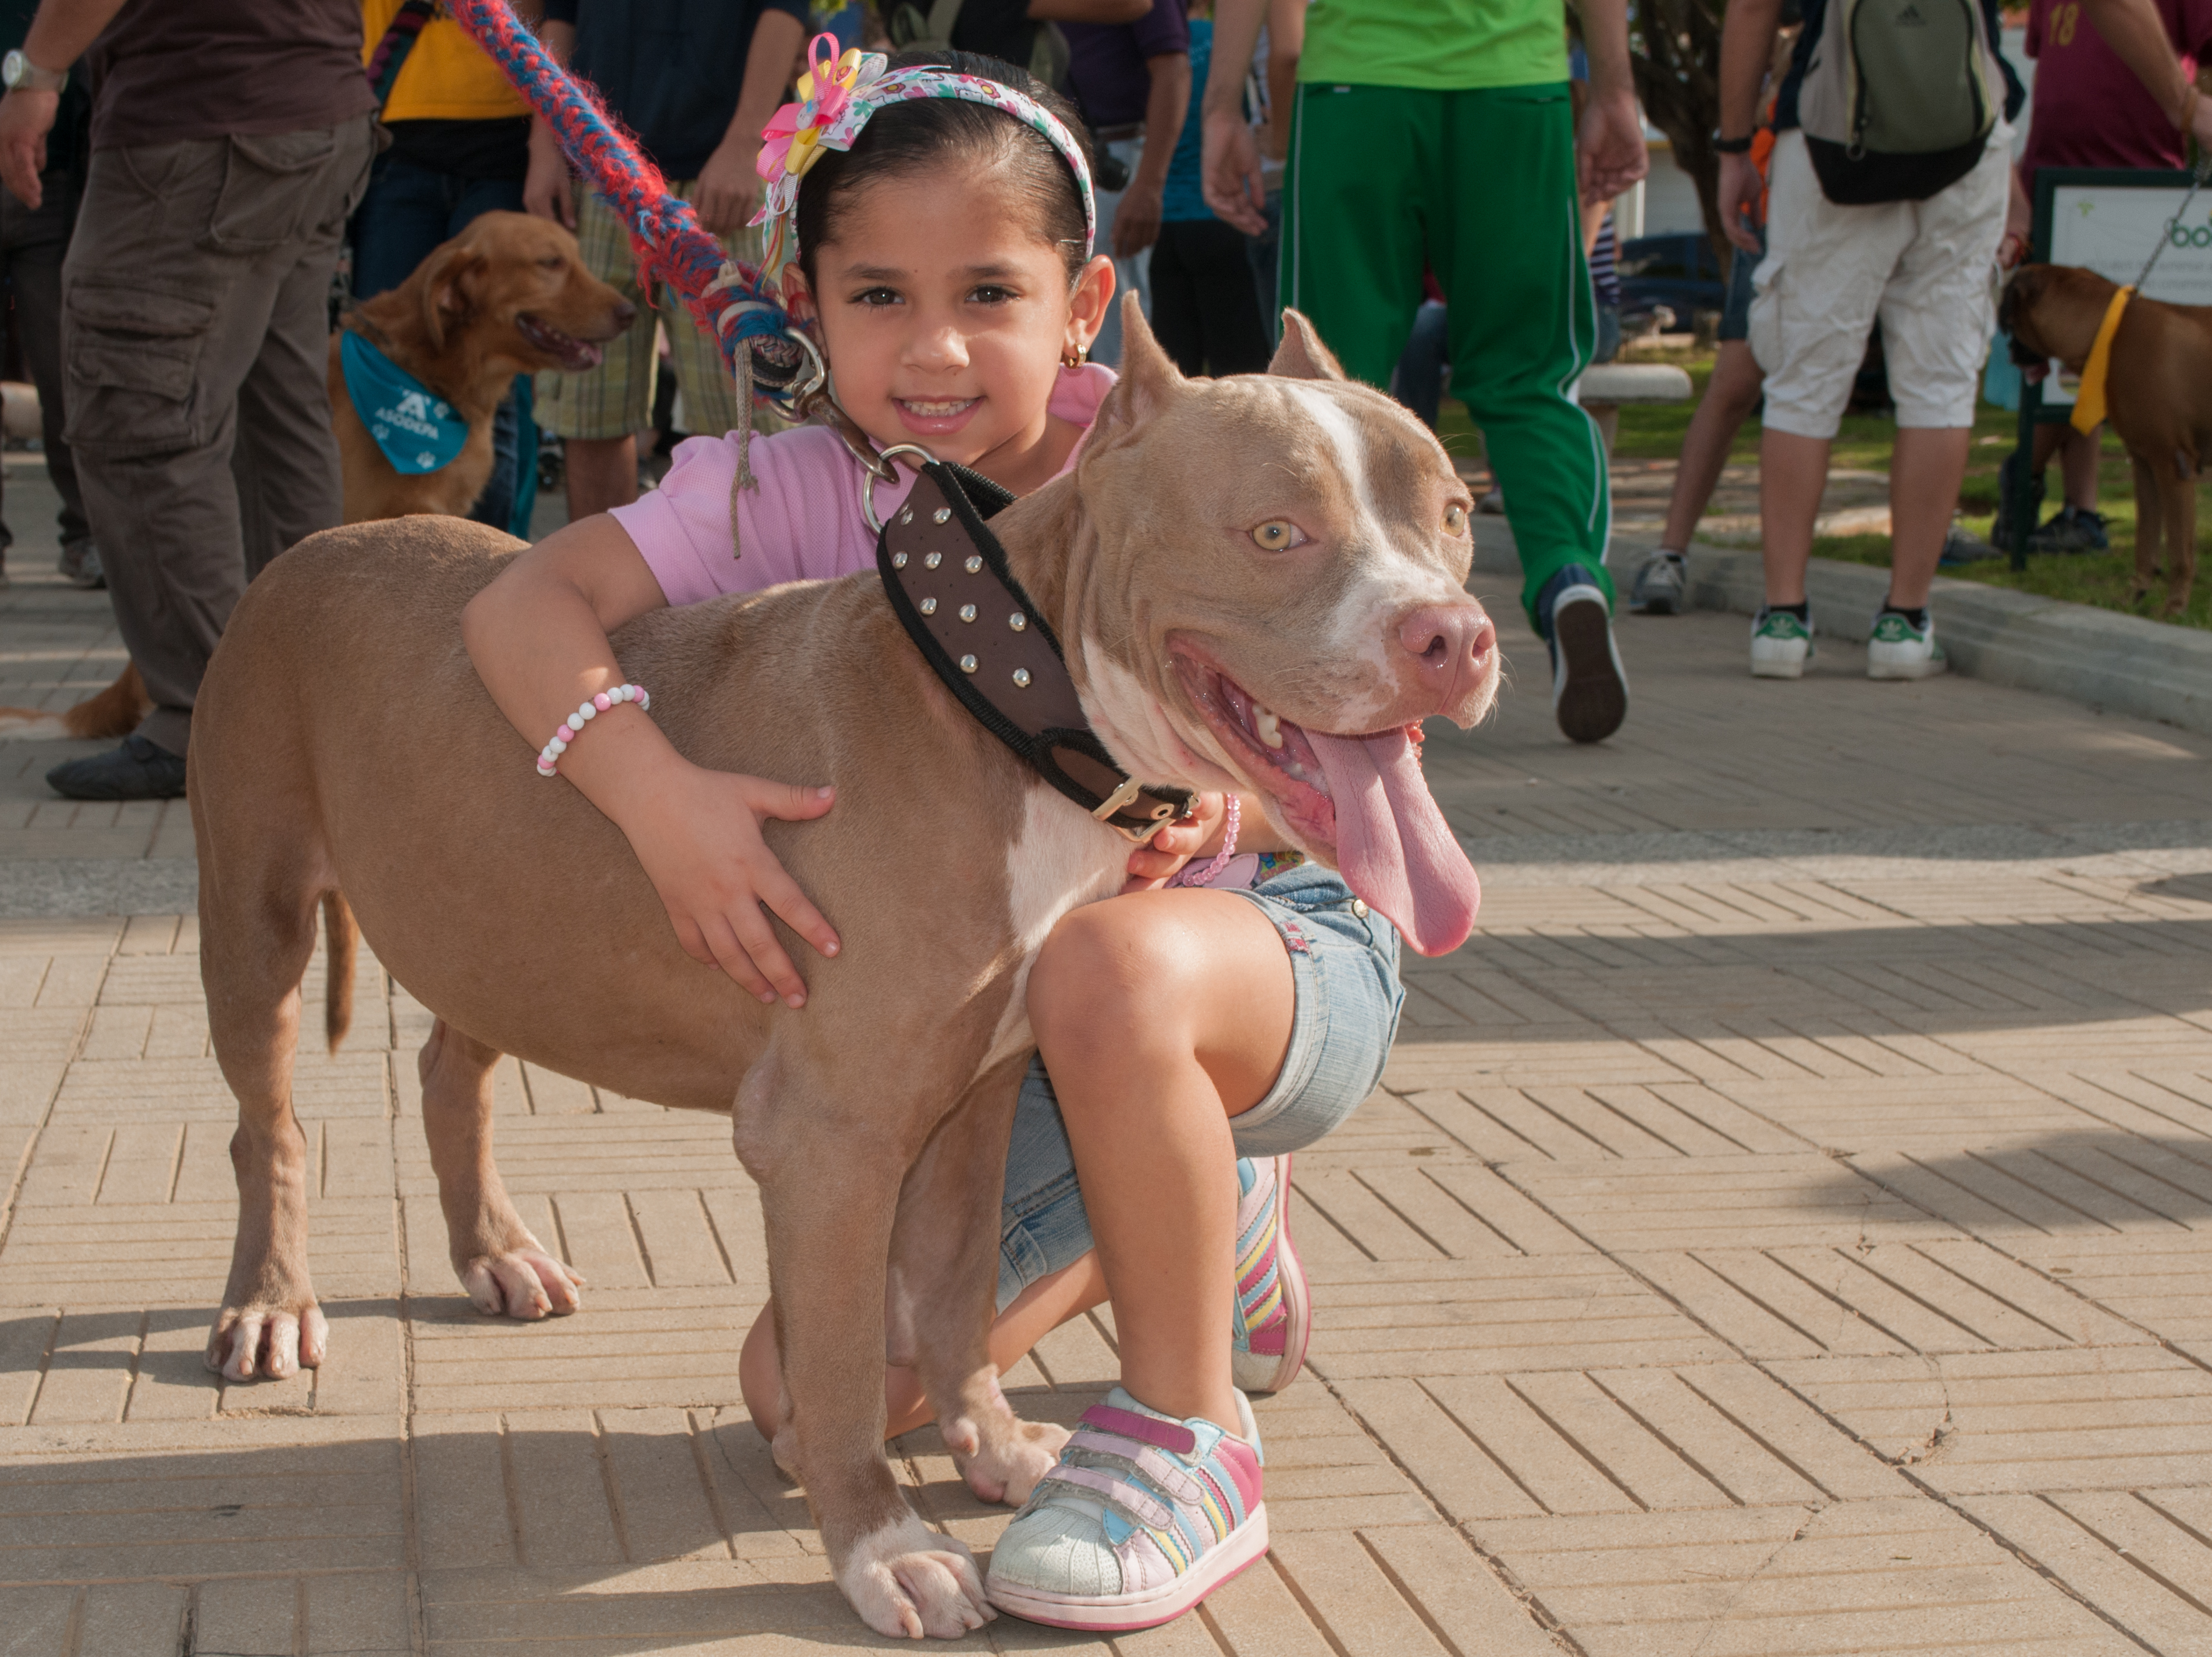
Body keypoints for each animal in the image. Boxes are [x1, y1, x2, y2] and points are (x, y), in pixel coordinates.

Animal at [2008, 265, 2212, 615]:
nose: (2007, 349)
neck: (2112, 333)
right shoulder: (2144, 463)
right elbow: (2146, 539)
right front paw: (2136, 594)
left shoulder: (2172, 465)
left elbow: (2179, 550)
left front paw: (2174, 606)